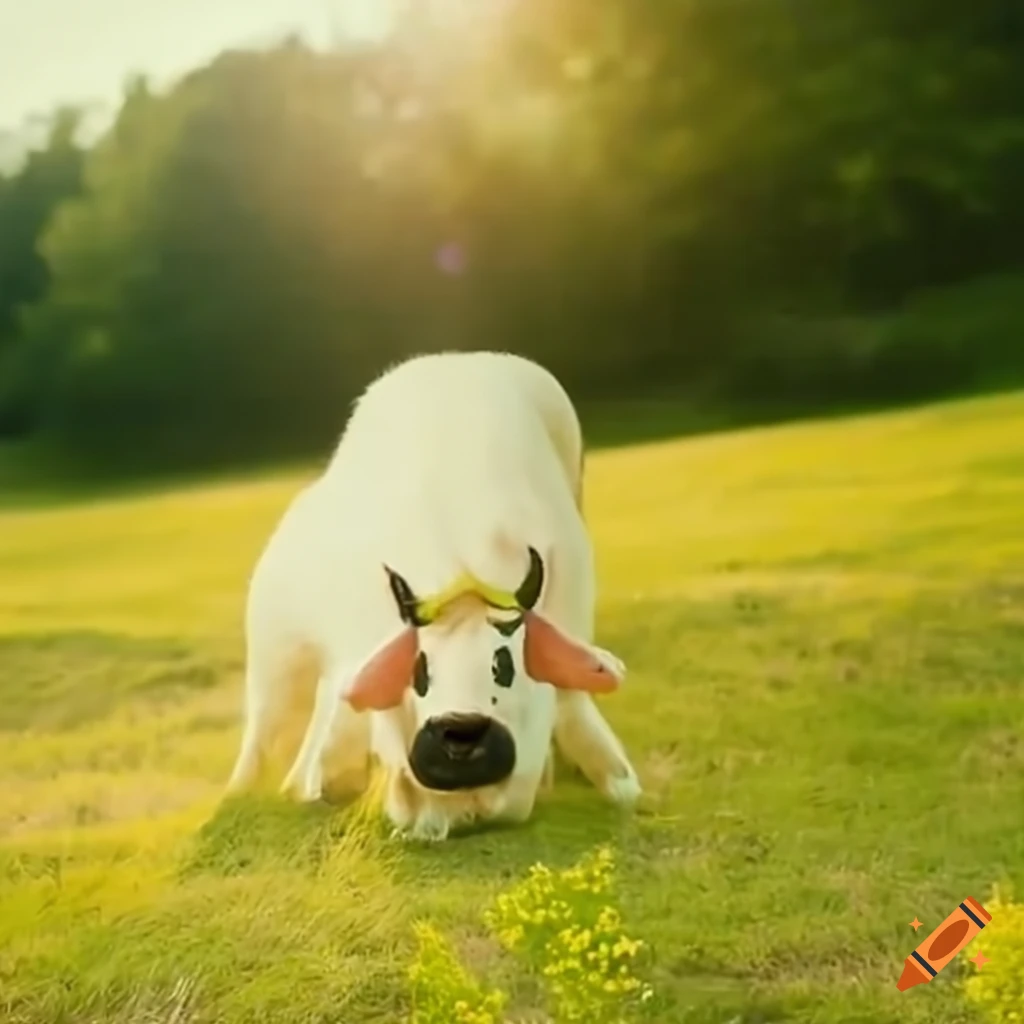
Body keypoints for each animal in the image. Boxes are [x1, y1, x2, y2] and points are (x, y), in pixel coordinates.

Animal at [225, 351, 640, 840]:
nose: (459, 729)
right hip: (274, 654)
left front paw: (625, 791)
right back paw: (244, 795)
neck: (460, 580)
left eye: (504, 665)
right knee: (265, 724)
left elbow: (572, 698)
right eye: (419, 670)